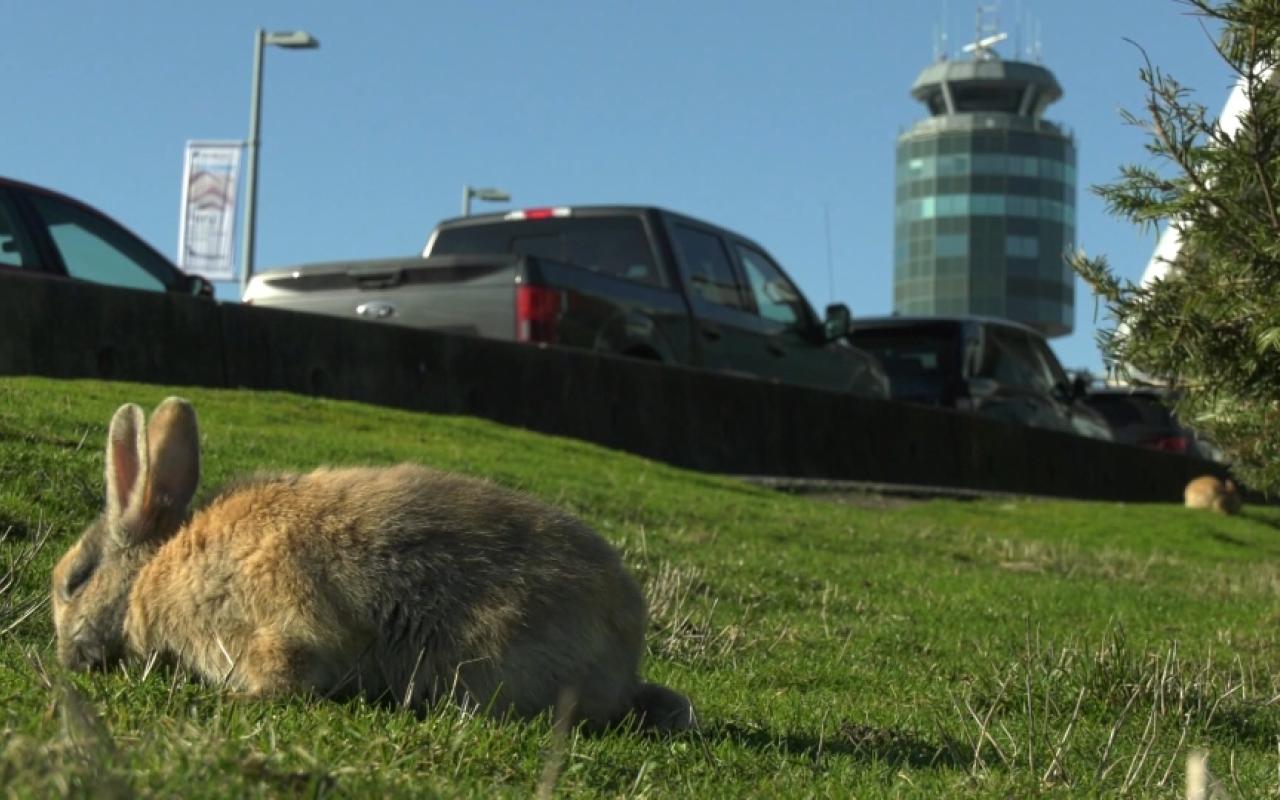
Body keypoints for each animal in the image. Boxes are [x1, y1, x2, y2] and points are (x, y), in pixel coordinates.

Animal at [49, 396, 696, 732]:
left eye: (73, 581)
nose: (66, 658)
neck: (150, 575)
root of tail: (625, 655)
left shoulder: (269, 624)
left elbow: (285, 670)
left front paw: (236, 702)